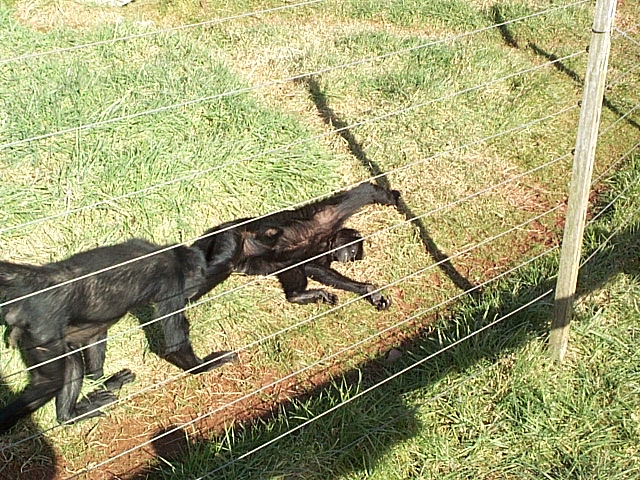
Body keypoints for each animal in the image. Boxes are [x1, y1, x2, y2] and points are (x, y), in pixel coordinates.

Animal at [0, 239, 237, 433]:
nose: (192, 293)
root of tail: (43, 279)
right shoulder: (171, 283)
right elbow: (175, 344)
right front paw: (209, 364)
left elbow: (94, 337)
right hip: (43, 328)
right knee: (48, 383)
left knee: (72, 361)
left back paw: (75, 409)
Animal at [190, 182, 400, 310]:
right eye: (354, 250)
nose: (349, 257)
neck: (326, 241)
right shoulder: (326, 217)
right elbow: (361, 194)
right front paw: (389, 196)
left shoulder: (322, 256)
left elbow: (314, 268)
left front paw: (370, 291)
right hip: (231, 236)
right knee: (219, 267)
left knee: (289, 266)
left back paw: (299, 296)